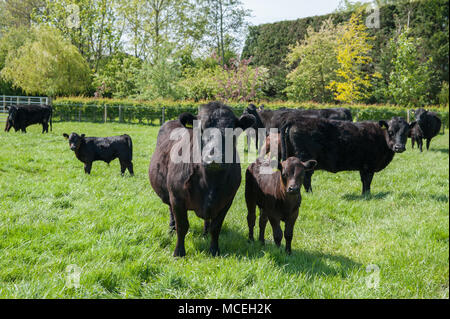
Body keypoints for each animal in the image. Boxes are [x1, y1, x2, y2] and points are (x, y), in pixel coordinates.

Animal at [149, 102, 255, 258]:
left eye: (232, 131)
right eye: (201, 128)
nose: (214, 155)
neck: (210, 181)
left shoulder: (227, 200)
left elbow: (216, 227)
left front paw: (214, 250)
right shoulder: (177, 197)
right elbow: (182, 226)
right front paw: (179, 252)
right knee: (171, 213)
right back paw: (171, 230)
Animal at [282, 116, 414, 194]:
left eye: (406, 132)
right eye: (390, 132)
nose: (399, 147)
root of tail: (296, 120)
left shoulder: (363, 166)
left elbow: (364, 181)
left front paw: (364, 194)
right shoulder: (369, 166)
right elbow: (367, 181)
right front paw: (367, 195)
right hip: (305, 159)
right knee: (306, 178)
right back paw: (309, 193)